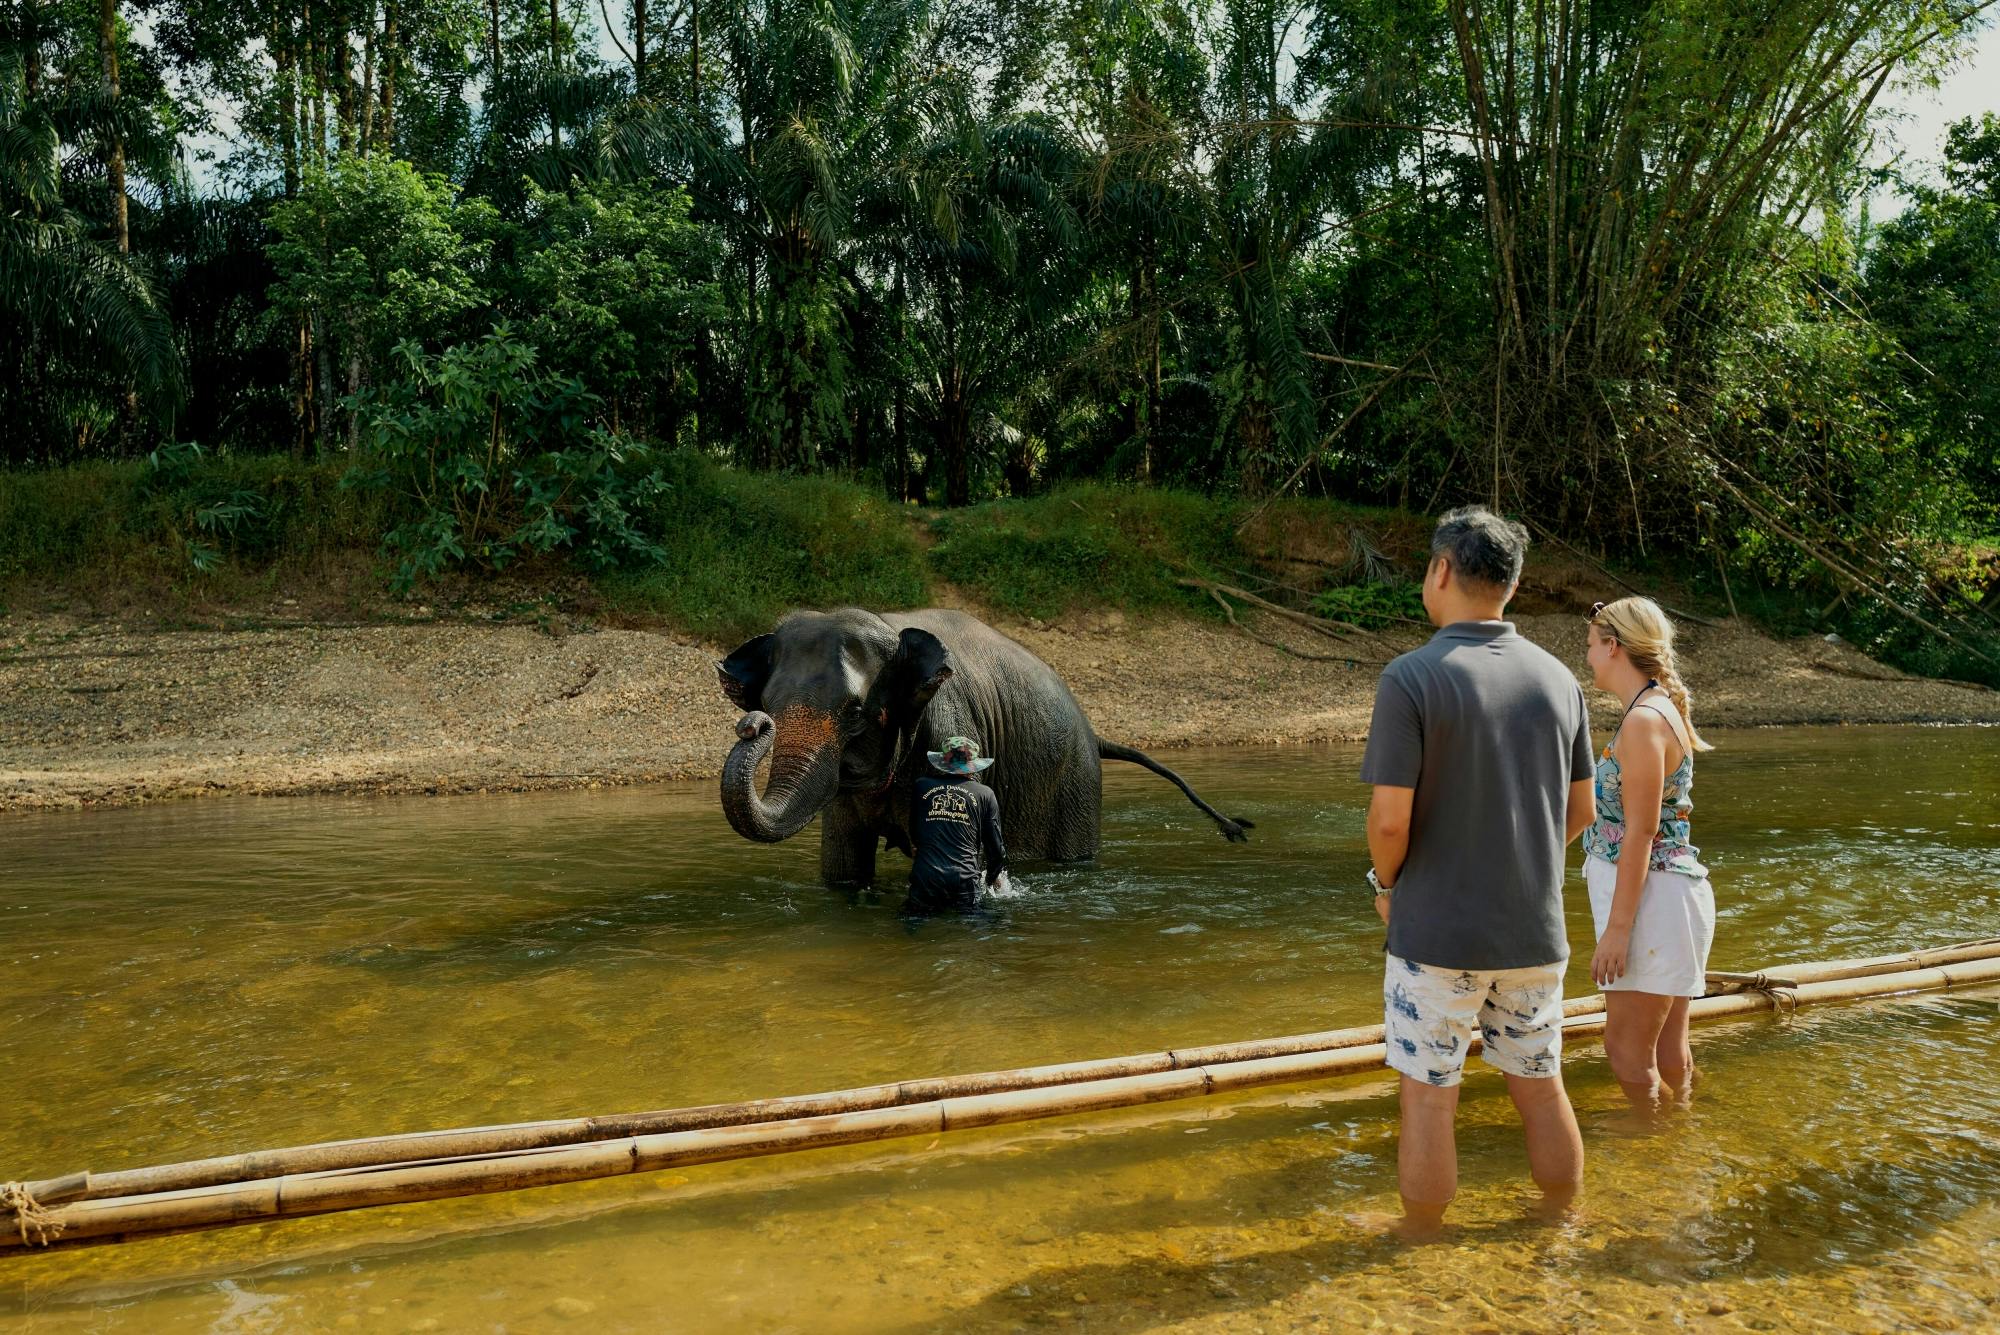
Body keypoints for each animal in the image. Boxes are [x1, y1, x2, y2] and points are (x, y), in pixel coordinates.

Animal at [720, 607, 1248, 887]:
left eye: (854, 712)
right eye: (768, 704)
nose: (754, 725)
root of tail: (1093, 731)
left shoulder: (950, 729)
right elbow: (843, 866)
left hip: (1075, 784)